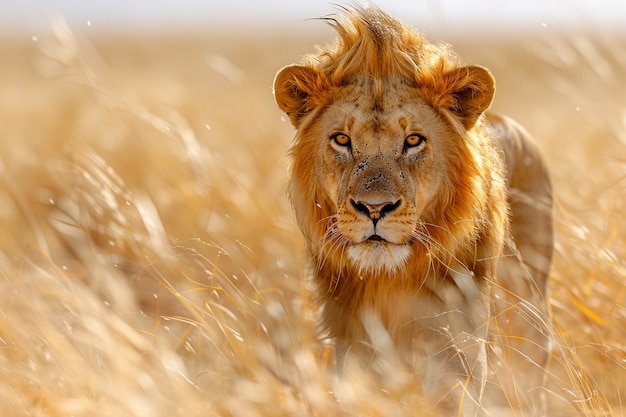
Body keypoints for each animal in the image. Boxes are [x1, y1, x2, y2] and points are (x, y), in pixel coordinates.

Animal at [272, 5, 552, 412]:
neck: (389, 281)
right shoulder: (352, 346)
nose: (374, 209)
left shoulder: (459, 349)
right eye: (341, 140)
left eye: (414, 141)